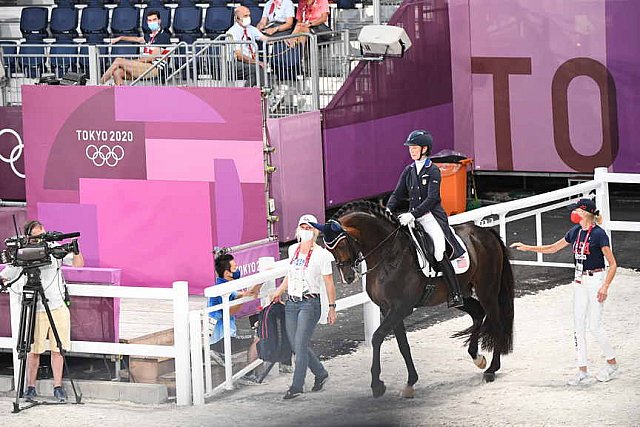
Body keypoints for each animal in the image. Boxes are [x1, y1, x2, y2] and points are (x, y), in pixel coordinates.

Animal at [316, 202, 516, 400]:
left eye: (342, 244)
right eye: (329, 249)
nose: (348, 277)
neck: (389, 254)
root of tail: (485, 232)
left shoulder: (400, 308)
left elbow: (377, 337)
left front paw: (377, 385)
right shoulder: (388, 309)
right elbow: (403, 345)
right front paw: (410, 382)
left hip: (487, 290)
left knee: (496, 322)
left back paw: (491, 370)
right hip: (462, 294)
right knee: (478, 313)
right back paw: (477, 358)